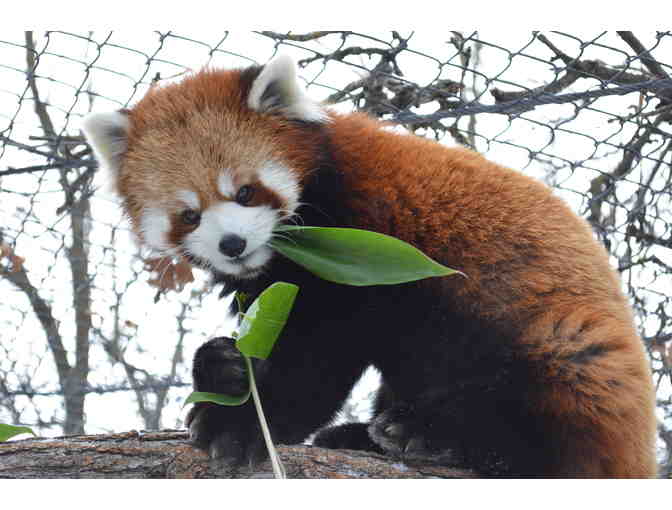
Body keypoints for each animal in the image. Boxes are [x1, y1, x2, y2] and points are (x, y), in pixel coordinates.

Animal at [82, 55, 656, 478]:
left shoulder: (361, 250)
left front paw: (246, 426)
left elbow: (320, 352)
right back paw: (365, 435)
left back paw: (428, 431)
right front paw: (224, 371)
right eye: (189, 214)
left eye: (245, 192)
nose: (232, 244)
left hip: (559, 342)